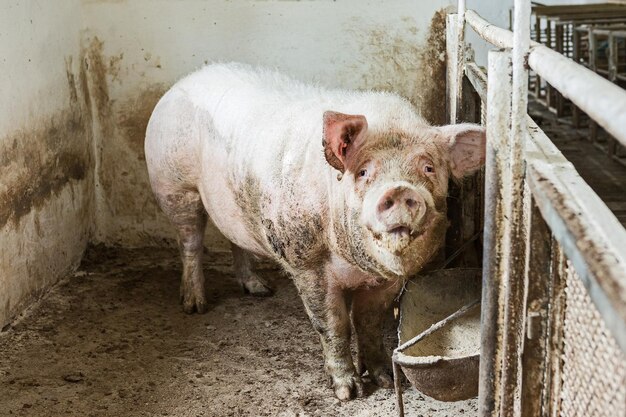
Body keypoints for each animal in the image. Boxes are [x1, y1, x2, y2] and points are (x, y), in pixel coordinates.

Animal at [144, 62, 486, 400]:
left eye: (428, 167)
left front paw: (387, 380)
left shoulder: (391, 281)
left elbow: (368, 322)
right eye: (363, 172)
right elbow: (333, 325)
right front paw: (349, 393)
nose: (401, 190)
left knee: (235, 240)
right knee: (190, 241)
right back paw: (195, 306)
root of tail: (184, 81)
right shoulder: (307, 265)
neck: (355, 266)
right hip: (174, 188)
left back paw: (259, 288)